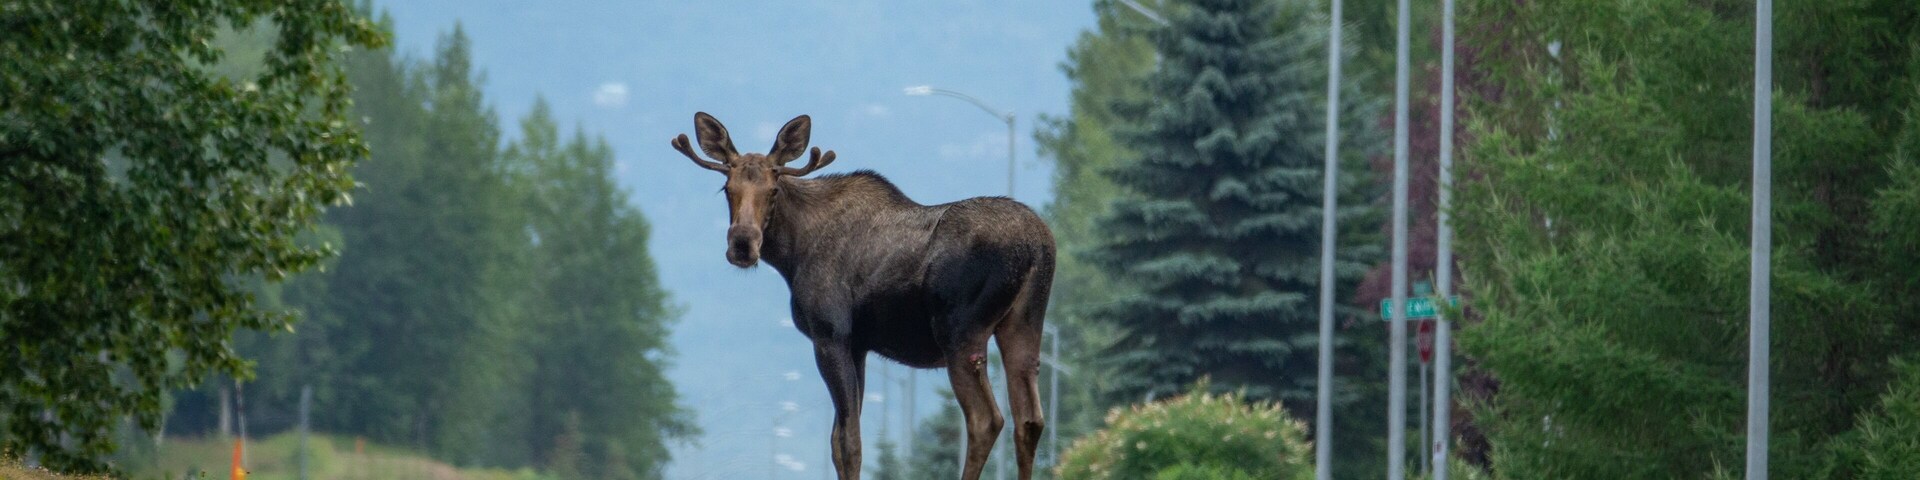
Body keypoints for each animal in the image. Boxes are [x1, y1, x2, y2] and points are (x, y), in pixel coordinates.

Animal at [671, 112, 1055, 480]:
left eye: (774, 189)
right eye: (726, 187)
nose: (742, 244)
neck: (792, 253)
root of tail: (1037, 246)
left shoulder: (830, 336)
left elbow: (848, 442)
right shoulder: (858, 345)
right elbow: (837, 441)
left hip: (960, 334)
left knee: (986, 420)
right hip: (1023, 324)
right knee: (1030, 420)